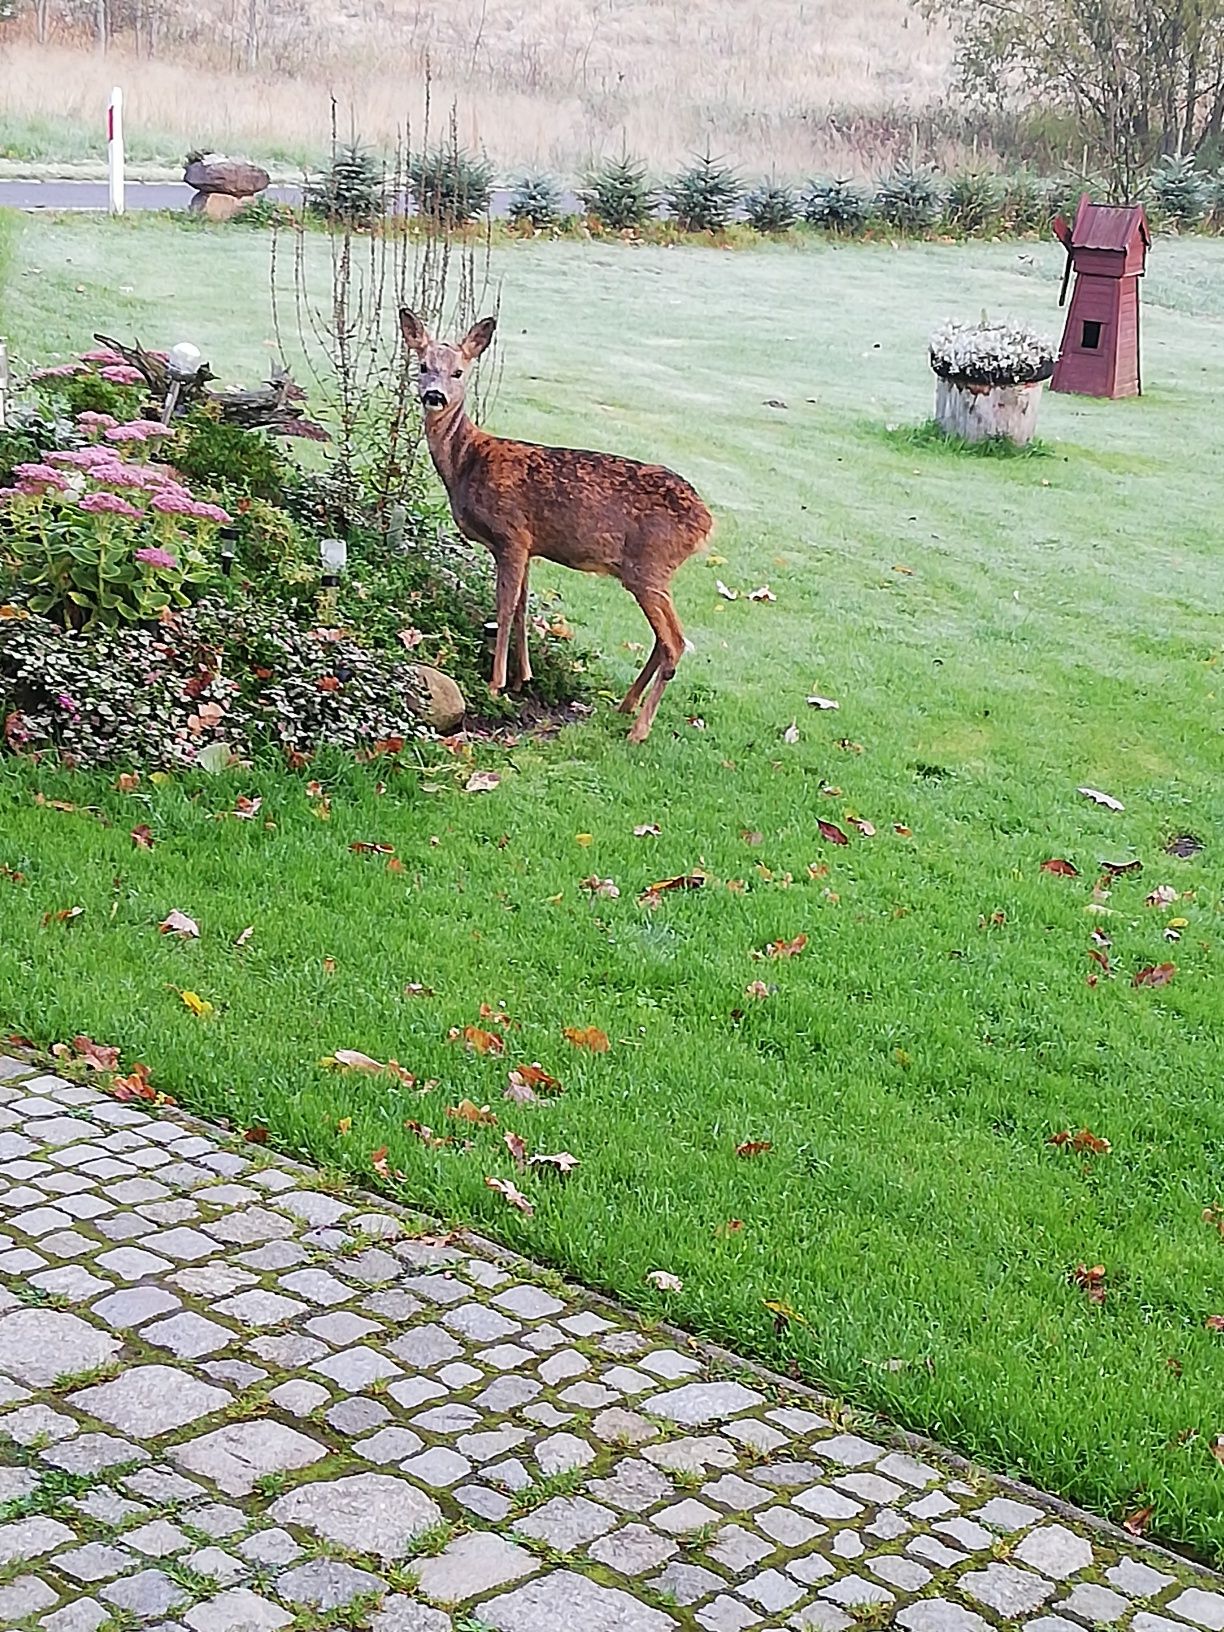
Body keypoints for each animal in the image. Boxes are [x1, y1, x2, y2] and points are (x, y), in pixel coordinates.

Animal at [398, 306, 714, 740]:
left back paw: (639, 729)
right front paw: (522, 679)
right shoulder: (528, 545)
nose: (434, 395)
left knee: (676, 642)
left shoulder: (511, 535)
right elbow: (521, 608)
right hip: (649, 572)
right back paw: (625, 706)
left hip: (649, 564)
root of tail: (706, 522)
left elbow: (503, 608)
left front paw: (495, 685)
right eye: (423, 366)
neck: (467, 462)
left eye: (458, 372)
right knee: (663, 638)